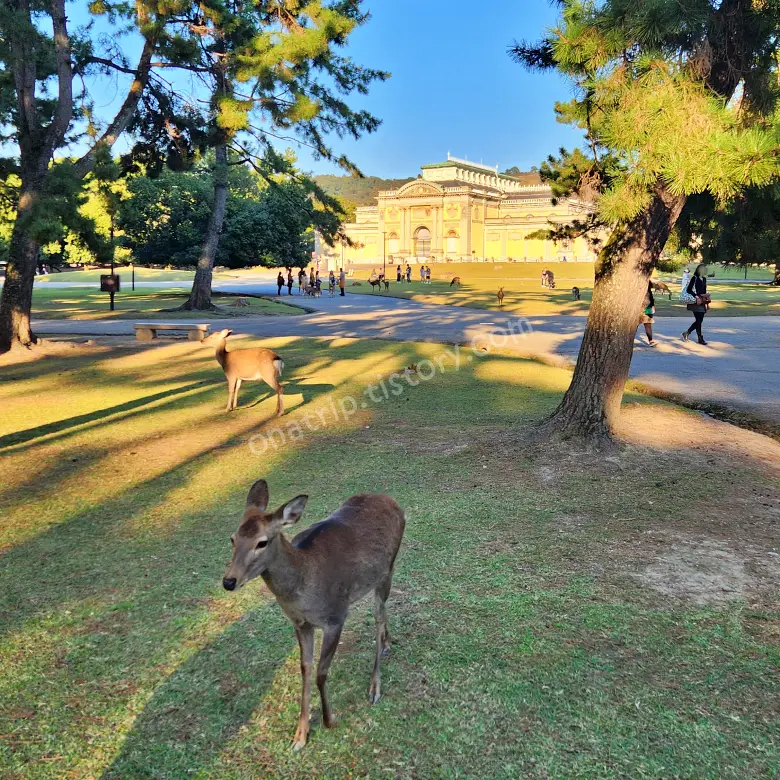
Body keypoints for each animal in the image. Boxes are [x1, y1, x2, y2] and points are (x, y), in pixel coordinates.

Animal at [222, 482, 406, 748]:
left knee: (378, 617)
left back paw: (375, 686)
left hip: (388, 568)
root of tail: (393, 502)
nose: (229, 581)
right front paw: (300, 734)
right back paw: (387, 643)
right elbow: (306, 669)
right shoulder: (301, 624)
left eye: (262, 542)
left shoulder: (336, 617)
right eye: (233, 538)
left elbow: (321, 672)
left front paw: (330, 721)